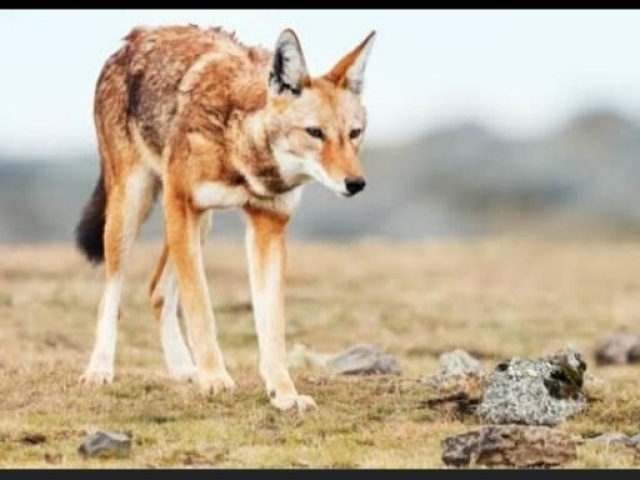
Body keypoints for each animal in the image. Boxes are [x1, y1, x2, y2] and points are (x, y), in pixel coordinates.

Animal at [74, 24, 376, 410]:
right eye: (315, 133)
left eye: (354, 133)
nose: (356, 183)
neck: (243, 152)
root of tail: (135, 37)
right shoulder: (181, 205)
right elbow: (201, 309)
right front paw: (216, 379)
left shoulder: (268, 226)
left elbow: (272, 327)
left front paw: (284, 394)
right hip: (132, 208)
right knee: (111, 296)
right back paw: (99, 370)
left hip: (200, 224)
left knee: (157, 291)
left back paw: (184, 369)